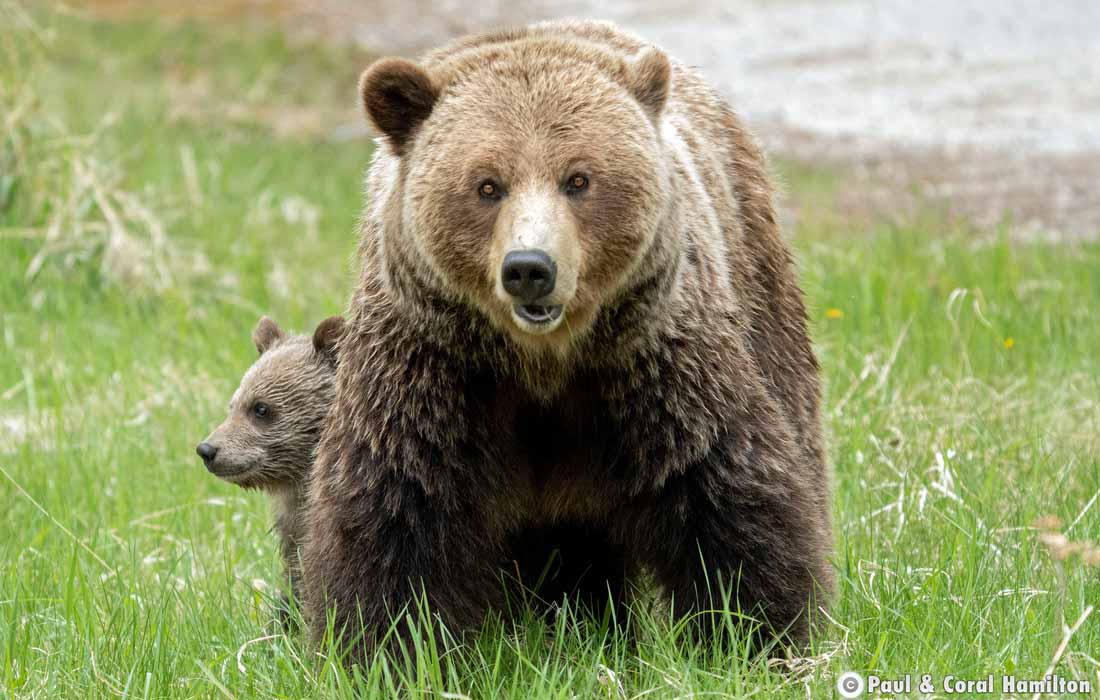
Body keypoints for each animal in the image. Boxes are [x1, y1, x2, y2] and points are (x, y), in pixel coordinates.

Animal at [301, 19, 831, 660]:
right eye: (487, 185)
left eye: (578, 178)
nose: (530, 267)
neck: (543, 362)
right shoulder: (434, 368)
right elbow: (398, 510)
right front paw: (390, 650)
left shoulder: (654, 366)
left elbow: (723, 491)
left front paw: (754, 636)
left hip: (756, 277)